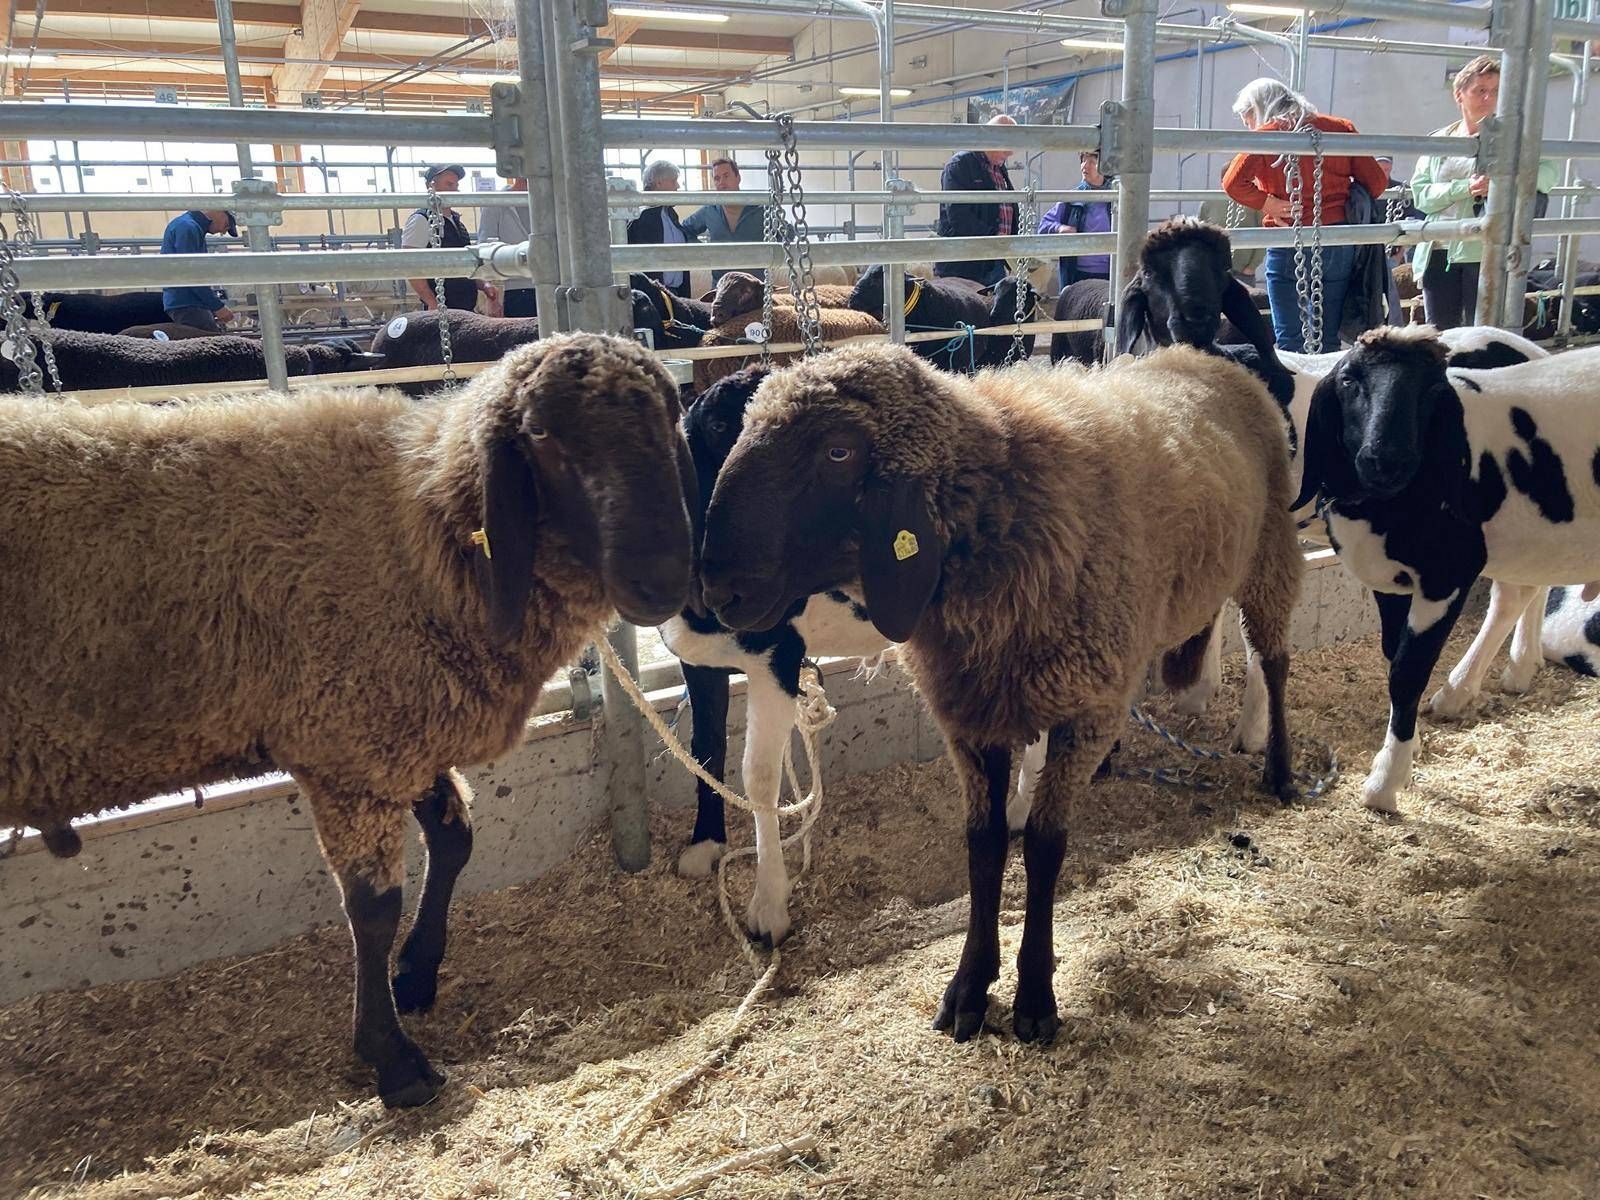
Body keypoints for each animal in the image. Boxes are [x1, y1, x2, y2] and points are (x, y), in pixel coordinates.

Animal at [0, 333, 696, 1106]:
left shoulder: (398, 725)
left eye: (670, 418)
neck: (418, 529)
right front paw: (394, 1059)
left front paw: (415, 975)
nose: (663, 581)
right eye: (541, 434)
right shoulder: (351, 746)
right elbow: (374, 907)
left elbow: (455, 842)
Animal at [699, 342, 1302, 1042]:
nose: (718, 588)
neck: (1000, 509)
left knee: (1273, 659)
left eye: (838, 452)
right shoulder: (972, 715)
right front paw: (969, 987)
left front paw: (1035, 995)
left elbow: (1045, 846)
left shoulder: (1084, 708)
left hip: (1270, 553)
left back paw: (1280, 769)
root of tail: (1213, 358)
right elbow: (983, 846)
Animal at [1291, 326, 1600, 813]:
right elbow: (1391, 655)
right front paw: (1409, 743)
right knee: (1522, 590)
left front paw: (1386, 782)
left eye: (1434, 391)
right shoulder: (1390, 580)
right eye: (1349, 381)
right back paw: (1496, 678)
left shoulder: (1448, 573)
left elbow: (1407, 673)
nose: (1387, 460)